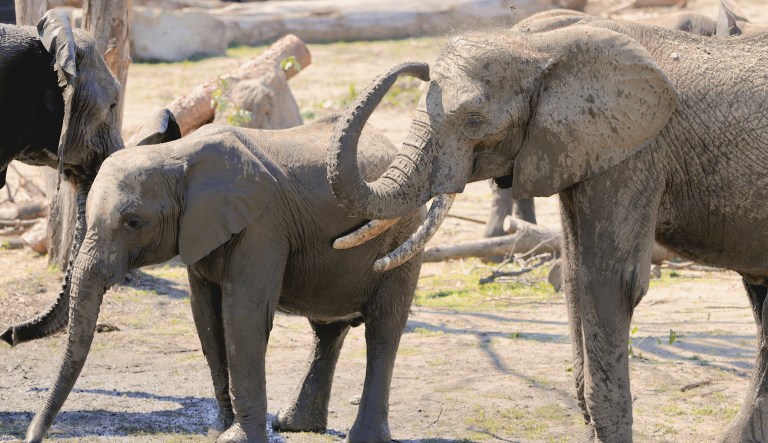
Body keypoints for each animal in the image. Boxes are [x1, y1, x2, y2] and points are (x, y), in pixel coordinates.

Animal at [22, 115, 426, 443]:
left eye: (133, 222)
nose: (32, 437)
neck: (176, 157)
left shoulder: (263, 226)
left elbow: (242, 315)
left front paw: (236, 437)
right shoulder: (200, 232)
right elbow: (207, 318)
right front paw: (219, 430)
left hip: (403, 233)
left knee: (383, 329)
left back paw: (363, 435)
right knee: (326, 330)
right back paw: (294, 426)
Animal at [326, 12, 768, 443]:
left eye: (473, 120)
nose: (416, 65)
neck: (539, 49)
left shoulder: (634, 151)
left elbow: (610, 282)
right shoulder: (578, 148)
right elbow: (573, 276)